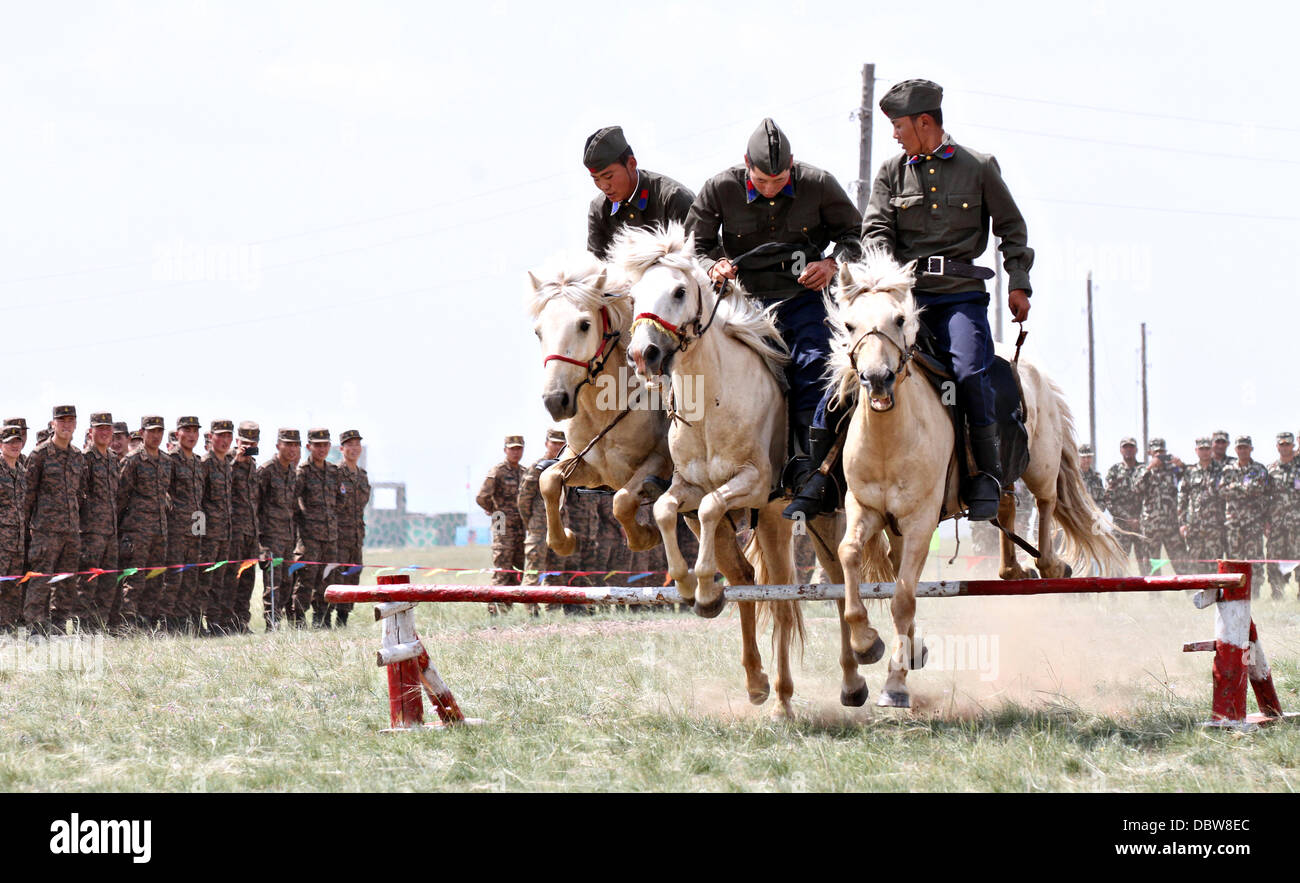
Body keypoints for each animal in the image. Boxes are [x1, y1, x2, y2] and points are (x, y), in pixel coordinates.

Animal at [527, 256, 670, 556]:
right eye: (538, 331)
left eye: (584, 325)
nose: (555, 401)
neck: (604, 412)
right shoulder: (588, 467)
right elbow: (548, 482)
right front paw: (564, 541)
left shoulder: (659, 460)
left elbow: (622, 502)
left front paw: (646, 536)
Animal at [832, 252, 1128, 707]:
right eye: (849, 325)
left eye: (899, 319)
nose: (877, 378)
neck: (889, 438)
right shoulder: (865, 509)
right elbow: (849, 556)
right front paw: (868, 642)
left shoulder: (920, 523)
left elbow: (903, 598)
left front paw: (896, 684)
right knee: (1004, 502)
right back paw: (1011, 571)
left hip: (1041, 465)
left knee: (1045, 504)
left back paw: (1047, 563)